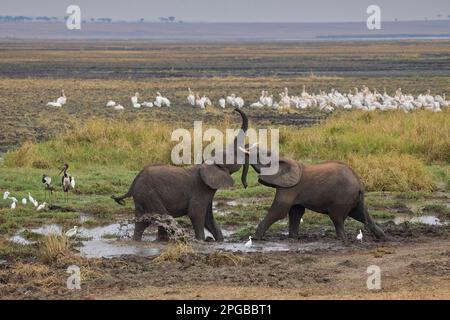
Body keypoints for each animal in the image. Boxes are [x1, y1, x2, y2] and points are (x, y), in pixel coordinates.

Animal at [110, 109, 248, 241]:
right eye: (233, 155)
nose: (234, 109)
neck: (207, 163)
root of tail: (133, 183)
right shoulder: (201, 190)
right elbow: (196, 214)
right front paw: (201, 241)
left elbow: (209, 220)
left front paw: (220, 241)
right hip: (149, 194)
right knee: (163, 218)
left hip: (142, 198)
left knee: (143, 224)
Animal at [243, 150, 386, 242]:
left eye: (260, 157)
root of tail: (359, 185)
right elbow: (296, 211)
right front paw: (293, 238)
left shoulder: (290, 188)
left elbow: (279, 211)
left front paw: (255, 238)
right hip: (354, 199)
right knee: (360, 214)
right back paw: (382, 237)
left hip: (342, 198)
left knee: (337, 218)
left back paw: (342, 239)